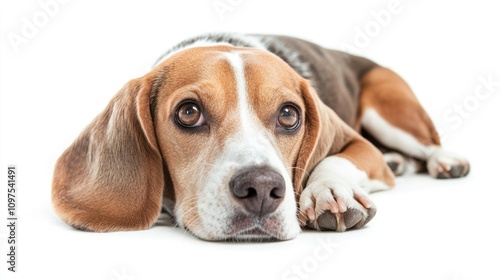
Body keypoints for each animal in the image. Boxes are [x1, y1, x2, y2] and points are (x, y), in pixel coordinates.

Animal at [52, 34, 470, 241]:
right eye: (188, 112)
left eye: (288, 115)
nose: (263, 189)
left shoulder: (359, 145)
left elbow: (335, 160)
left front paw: (329, 192)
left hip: (387, 105)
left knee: (427, 144)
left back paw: (445, 160)